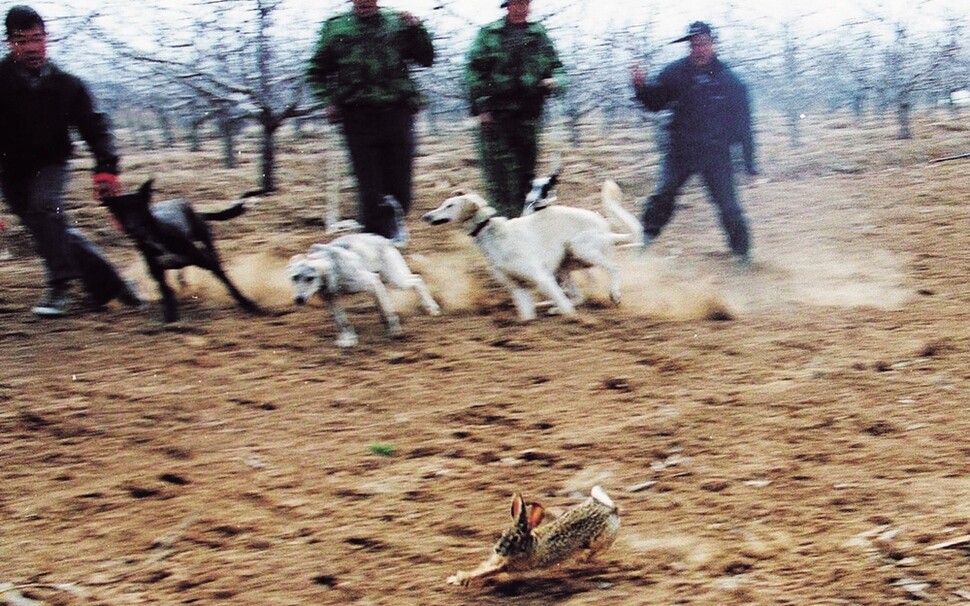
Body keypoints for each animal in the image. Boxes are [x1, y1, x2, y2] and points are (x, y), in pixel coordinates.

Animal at [100, 179, 260, 324]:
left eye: (137, 207)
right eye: (120, 211)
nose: (130, 228)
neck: (155, 236)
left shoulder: (205, 260)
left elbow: (228, 283)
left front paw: (249, 305)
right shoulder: (157, 273)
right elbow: (167, 294)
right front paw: (171, 319)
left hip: (205, 240)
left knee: (214, 258)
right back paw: (182, 283)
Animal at [288, 233, 438, 346]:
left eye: (310, 278)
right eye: (295, 277)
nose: (299, 299)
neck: (333, 267)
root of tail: (384, 239)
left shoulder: (371, 280)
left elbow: (388, 311)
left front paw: (395, 331)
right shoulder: (331, 299)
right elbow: (341, 321)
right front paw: (348, 339)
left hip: (396, 278)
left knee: (417, 280)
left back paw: (432, 308)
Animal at [420, 180, 640, 324]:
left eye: (450, 205)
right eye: (443, 203)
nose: (426, 217)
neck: (493, 234)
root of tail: (604, 224)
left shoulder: (542, 277)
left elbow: (568, 309)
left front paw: (575, 320)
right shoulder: (518, 287)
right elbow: (527, 317)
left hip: (580, 249)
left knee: (613, 268)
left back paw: (614, 295)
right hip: (564, 266)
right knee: (579, 295)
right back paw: (553, 309)